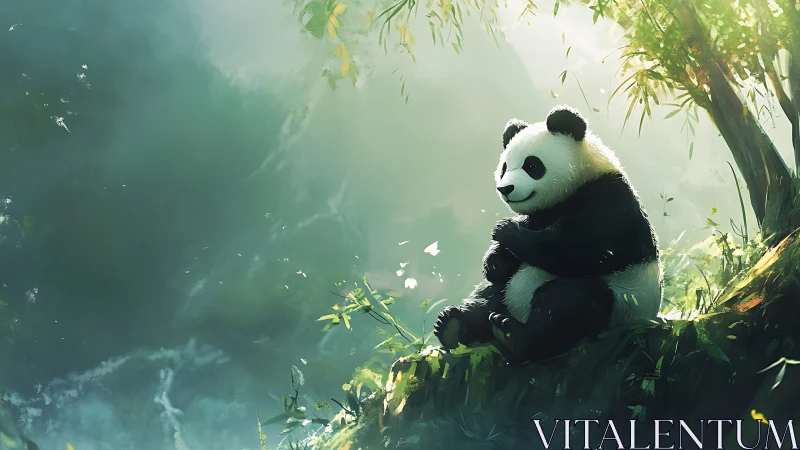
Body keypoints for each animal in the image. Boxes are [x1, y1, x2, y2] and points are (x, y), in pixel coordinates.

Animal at [433, 105, 662, 365]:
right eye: (504, 167)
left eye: (531, 166)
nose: (505, 189)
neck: (577, 183)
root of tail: (519, 312)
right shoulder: (541, 213)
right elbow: (506, 263)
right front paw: (494, 261)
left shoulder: (610, 202)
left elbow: (584, 250)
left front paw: (505, 229)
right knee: (489, 294)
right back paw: (453, 325)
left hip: (621, 301)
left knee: (567, 304)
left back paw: (513, 336)